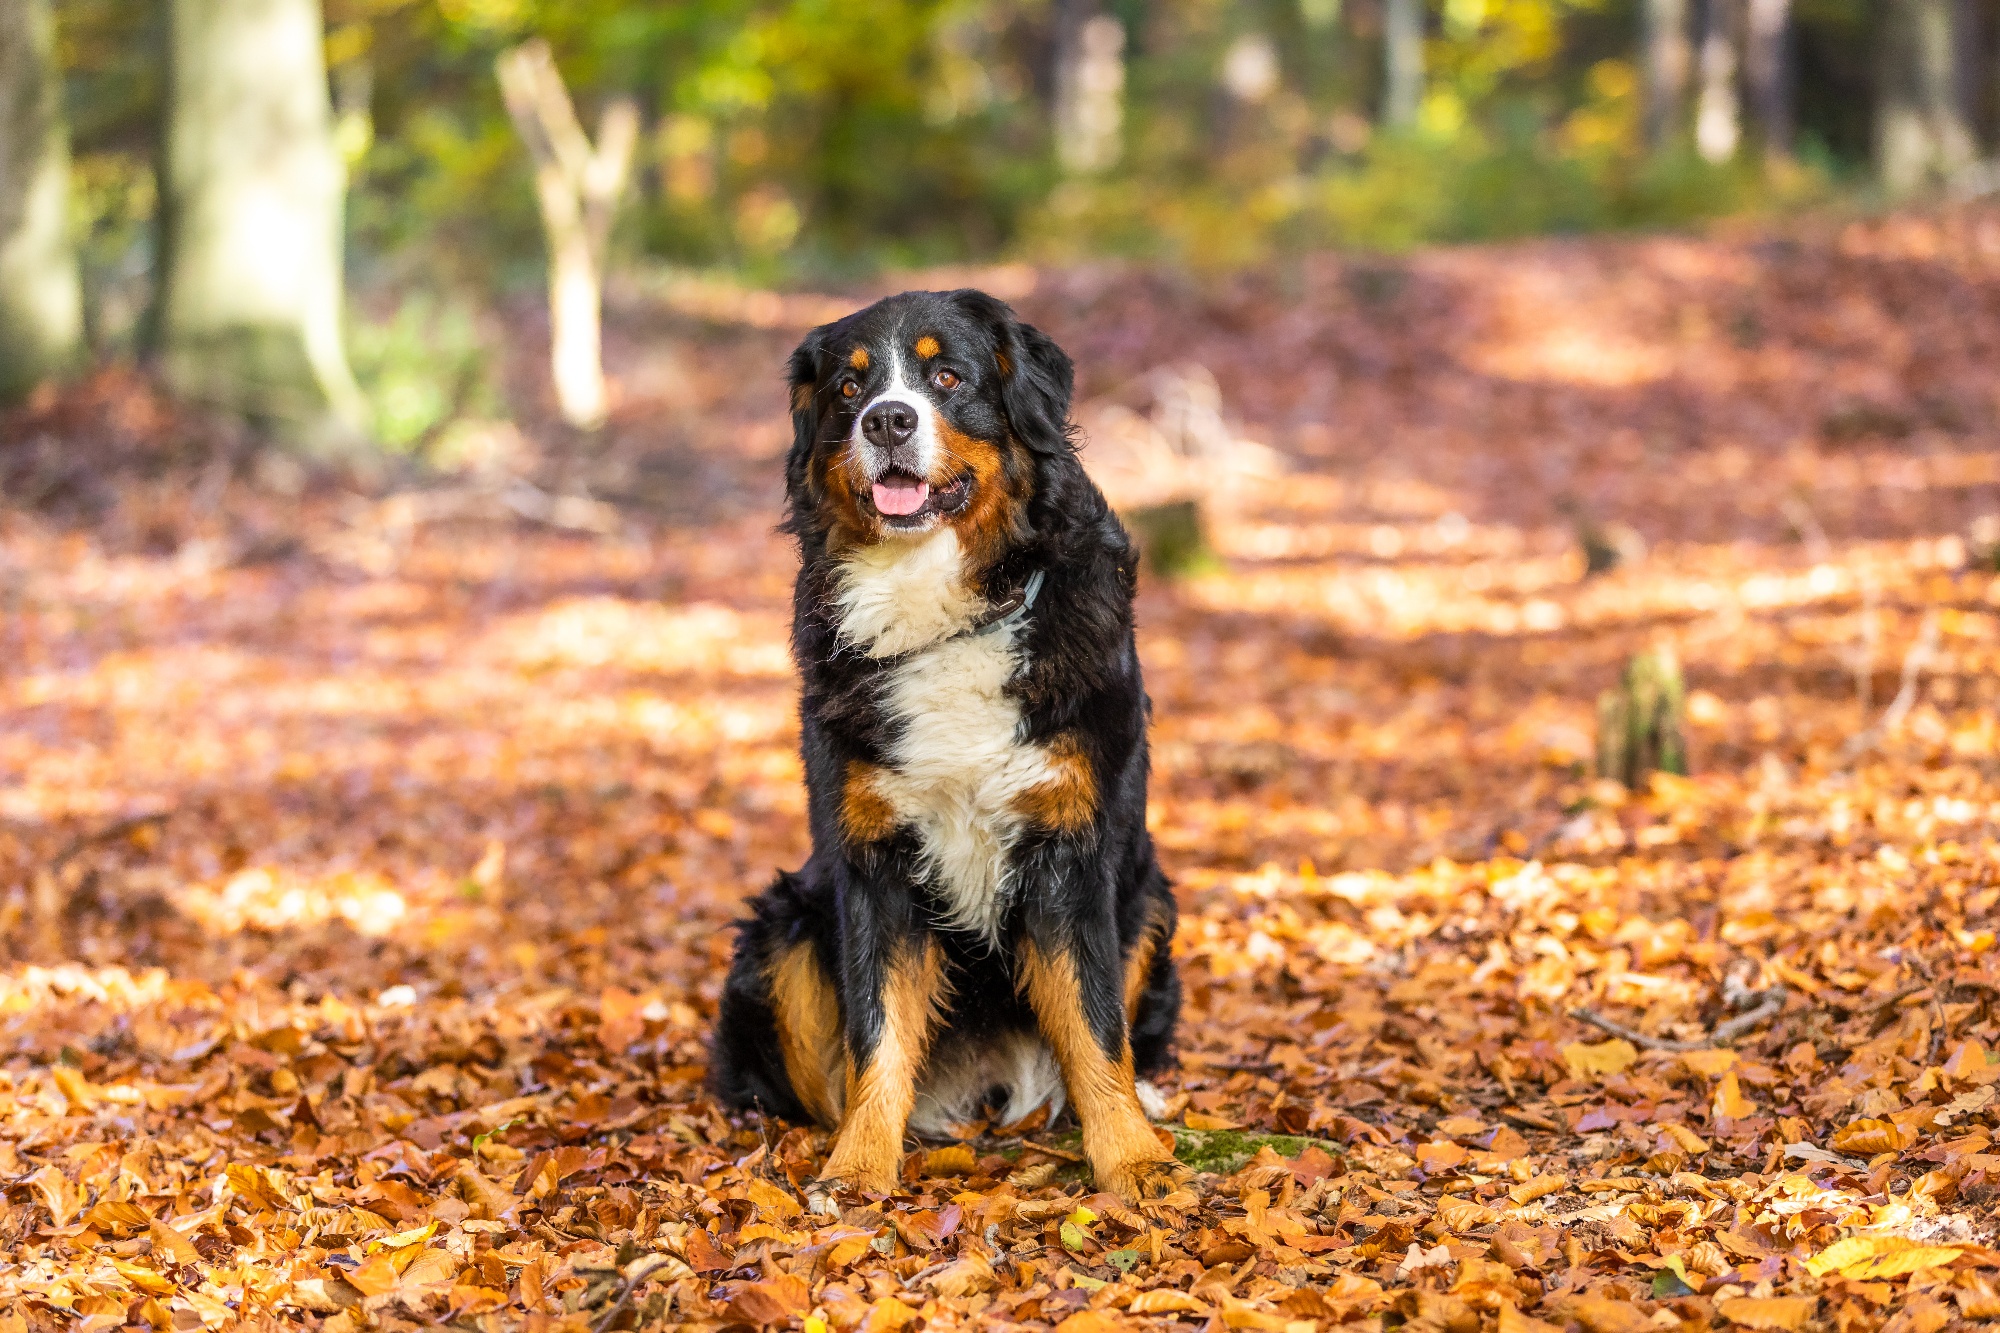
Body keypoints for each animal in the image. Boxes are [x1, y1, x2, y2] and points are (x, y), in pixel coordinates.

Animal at [716, 286, 1184, 1200]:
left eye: (948, 377)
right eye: (849, 389)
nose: (889, 420)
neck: (944, 609)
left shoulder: (1071, 848)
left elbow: (1095, 1019)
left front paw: (1130, 1156)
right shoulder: (870, 858)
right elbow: (876, 1028)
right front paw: (860, 1164)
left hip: (1149, 896)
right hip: (783, 927)